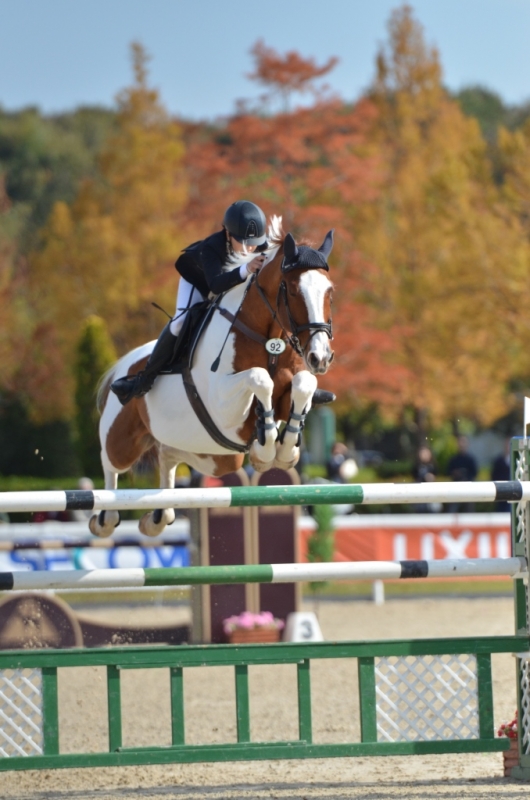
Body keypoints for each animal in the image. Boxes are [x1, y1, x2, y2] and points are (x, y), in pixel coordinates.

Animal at [88, 219, 332, 536]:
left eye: (329, 292)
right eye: (291, 290)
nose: (321, 357)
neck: (269, 339)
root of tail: (123, 366)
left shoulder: (288, 391)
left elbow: (304, 384)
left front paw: (284, 451)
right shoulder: (223, 405)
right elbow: (259, 378)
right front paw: (266, 449)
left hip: (217, 457)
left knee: (168, 455)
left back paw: (157, 517)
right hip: (122, 439)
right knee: (111, 465)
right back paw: (104, 518)